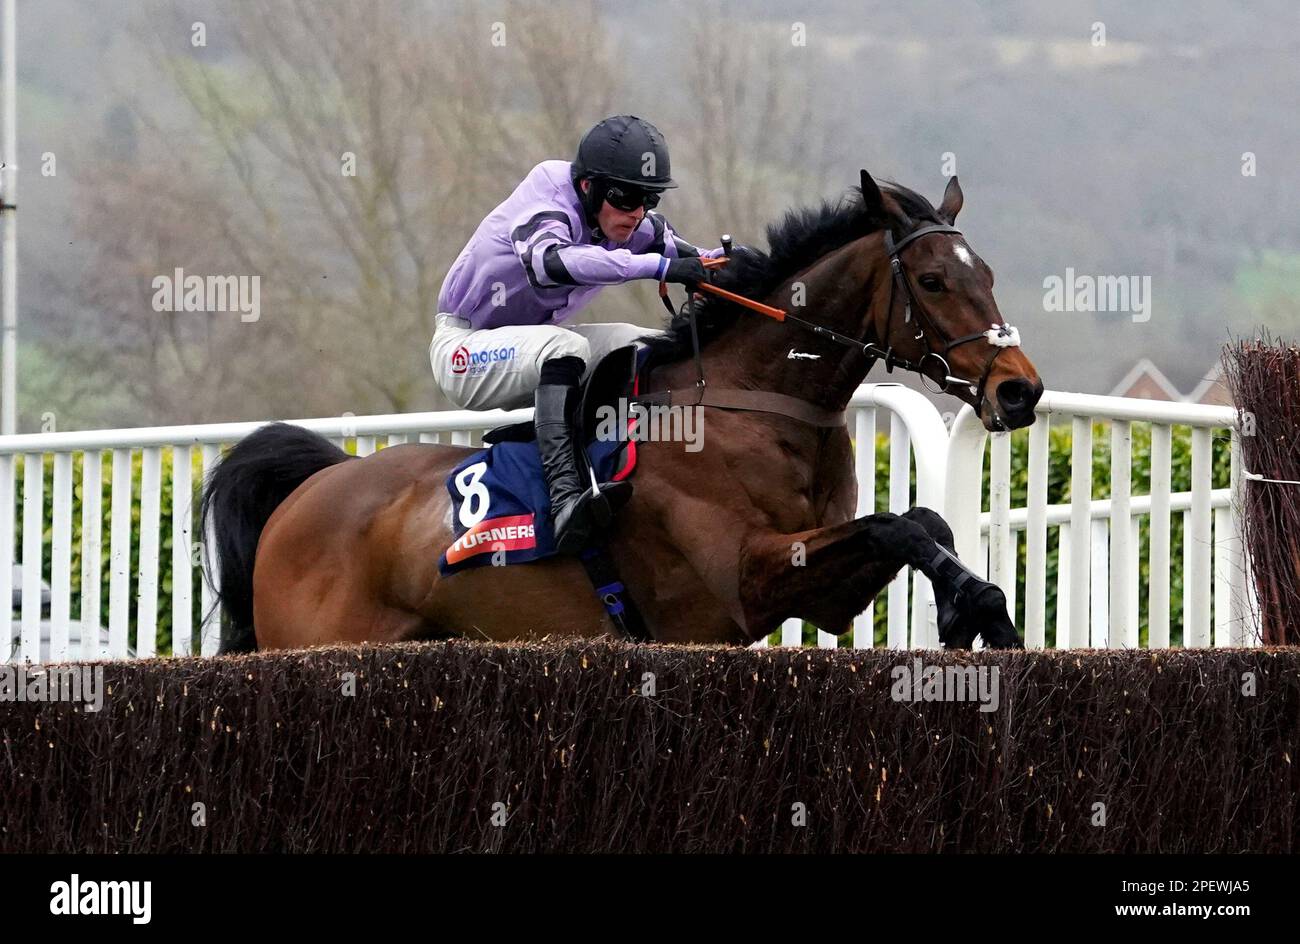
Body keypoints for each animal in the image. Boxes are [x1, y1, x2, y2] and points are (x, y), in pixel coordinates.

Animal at [202, 170, 1045, 655]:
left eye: (987, 273)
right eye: (933, 280)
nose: (1019, 390)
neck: (752, 406)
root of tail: (312, 489)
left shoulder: (823, 593)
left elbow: (918, 524)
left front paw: (983, 609)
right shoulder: (745, 580)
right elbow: (899, 527)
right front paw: (979, 610)